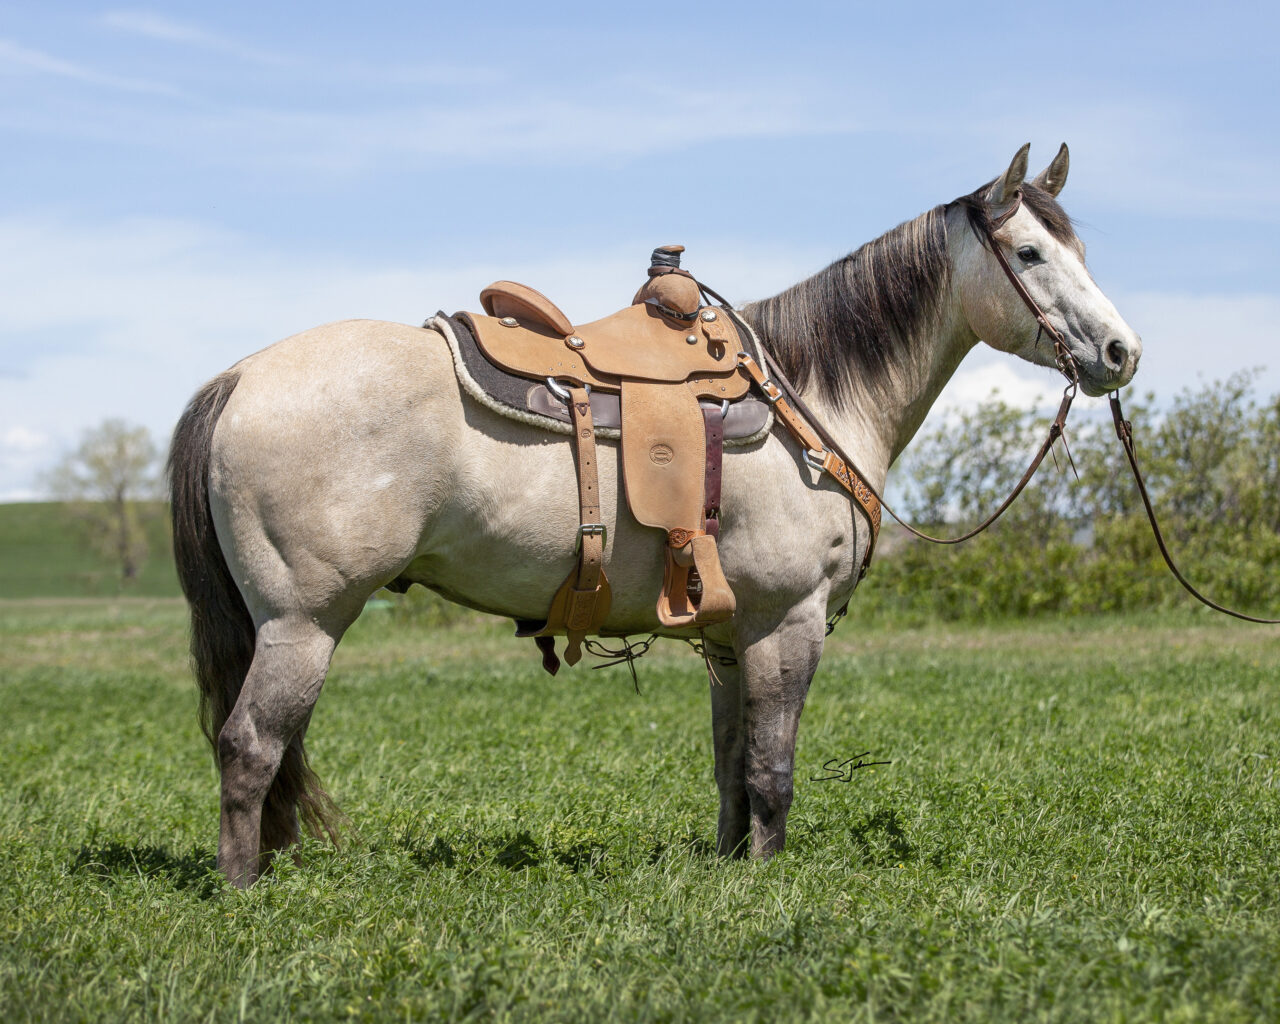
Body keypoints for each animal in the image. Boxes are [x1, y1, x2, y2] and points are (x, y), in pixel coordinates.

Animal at [169, 143, 1141, 887]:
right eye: (1030, 255)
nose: (1121, 352)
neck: (813, 389)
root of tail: (240, 378)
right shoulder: (788, 622)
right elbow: (773, 768)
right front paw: (769, 882)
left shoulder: (729, 636)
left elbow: (730, 768)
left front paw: (730, 867)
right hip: (303, 621)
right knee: (250, 745)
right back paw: (244, 888)